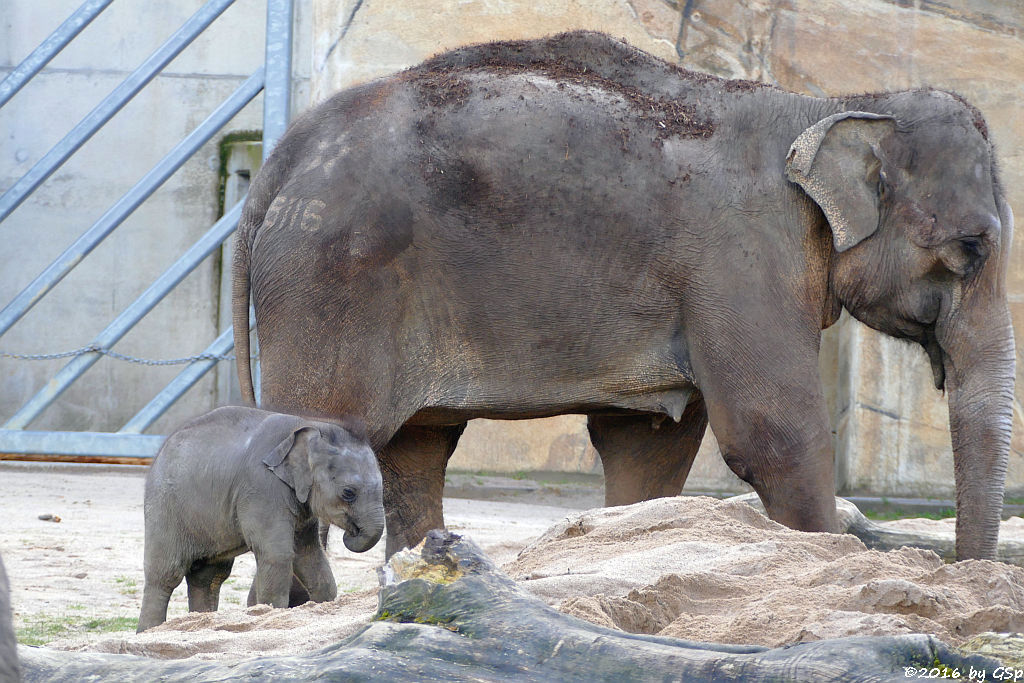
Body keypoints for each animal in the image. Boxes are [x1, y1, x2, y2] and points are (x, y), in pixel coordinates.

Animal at [138, 403, 385, 634]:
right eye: (349, 493)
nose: (351, 533)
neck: (312, 424)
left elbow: (310, 555)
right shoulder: (262, 488)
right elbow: (278, 555)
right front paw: (270, 613)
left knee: (209, 576)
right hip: (164, 508)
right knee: (166, 574)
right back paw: (148, 632)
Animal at [234, 30, 1015, 561]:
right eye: (972, 251)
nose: (966, 570)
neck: (836, 105)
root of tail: (284, 156)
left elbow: (648, 447)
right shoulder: (743, 255)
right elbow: (775, 434)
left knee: (417, 449)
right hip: (334, 277)